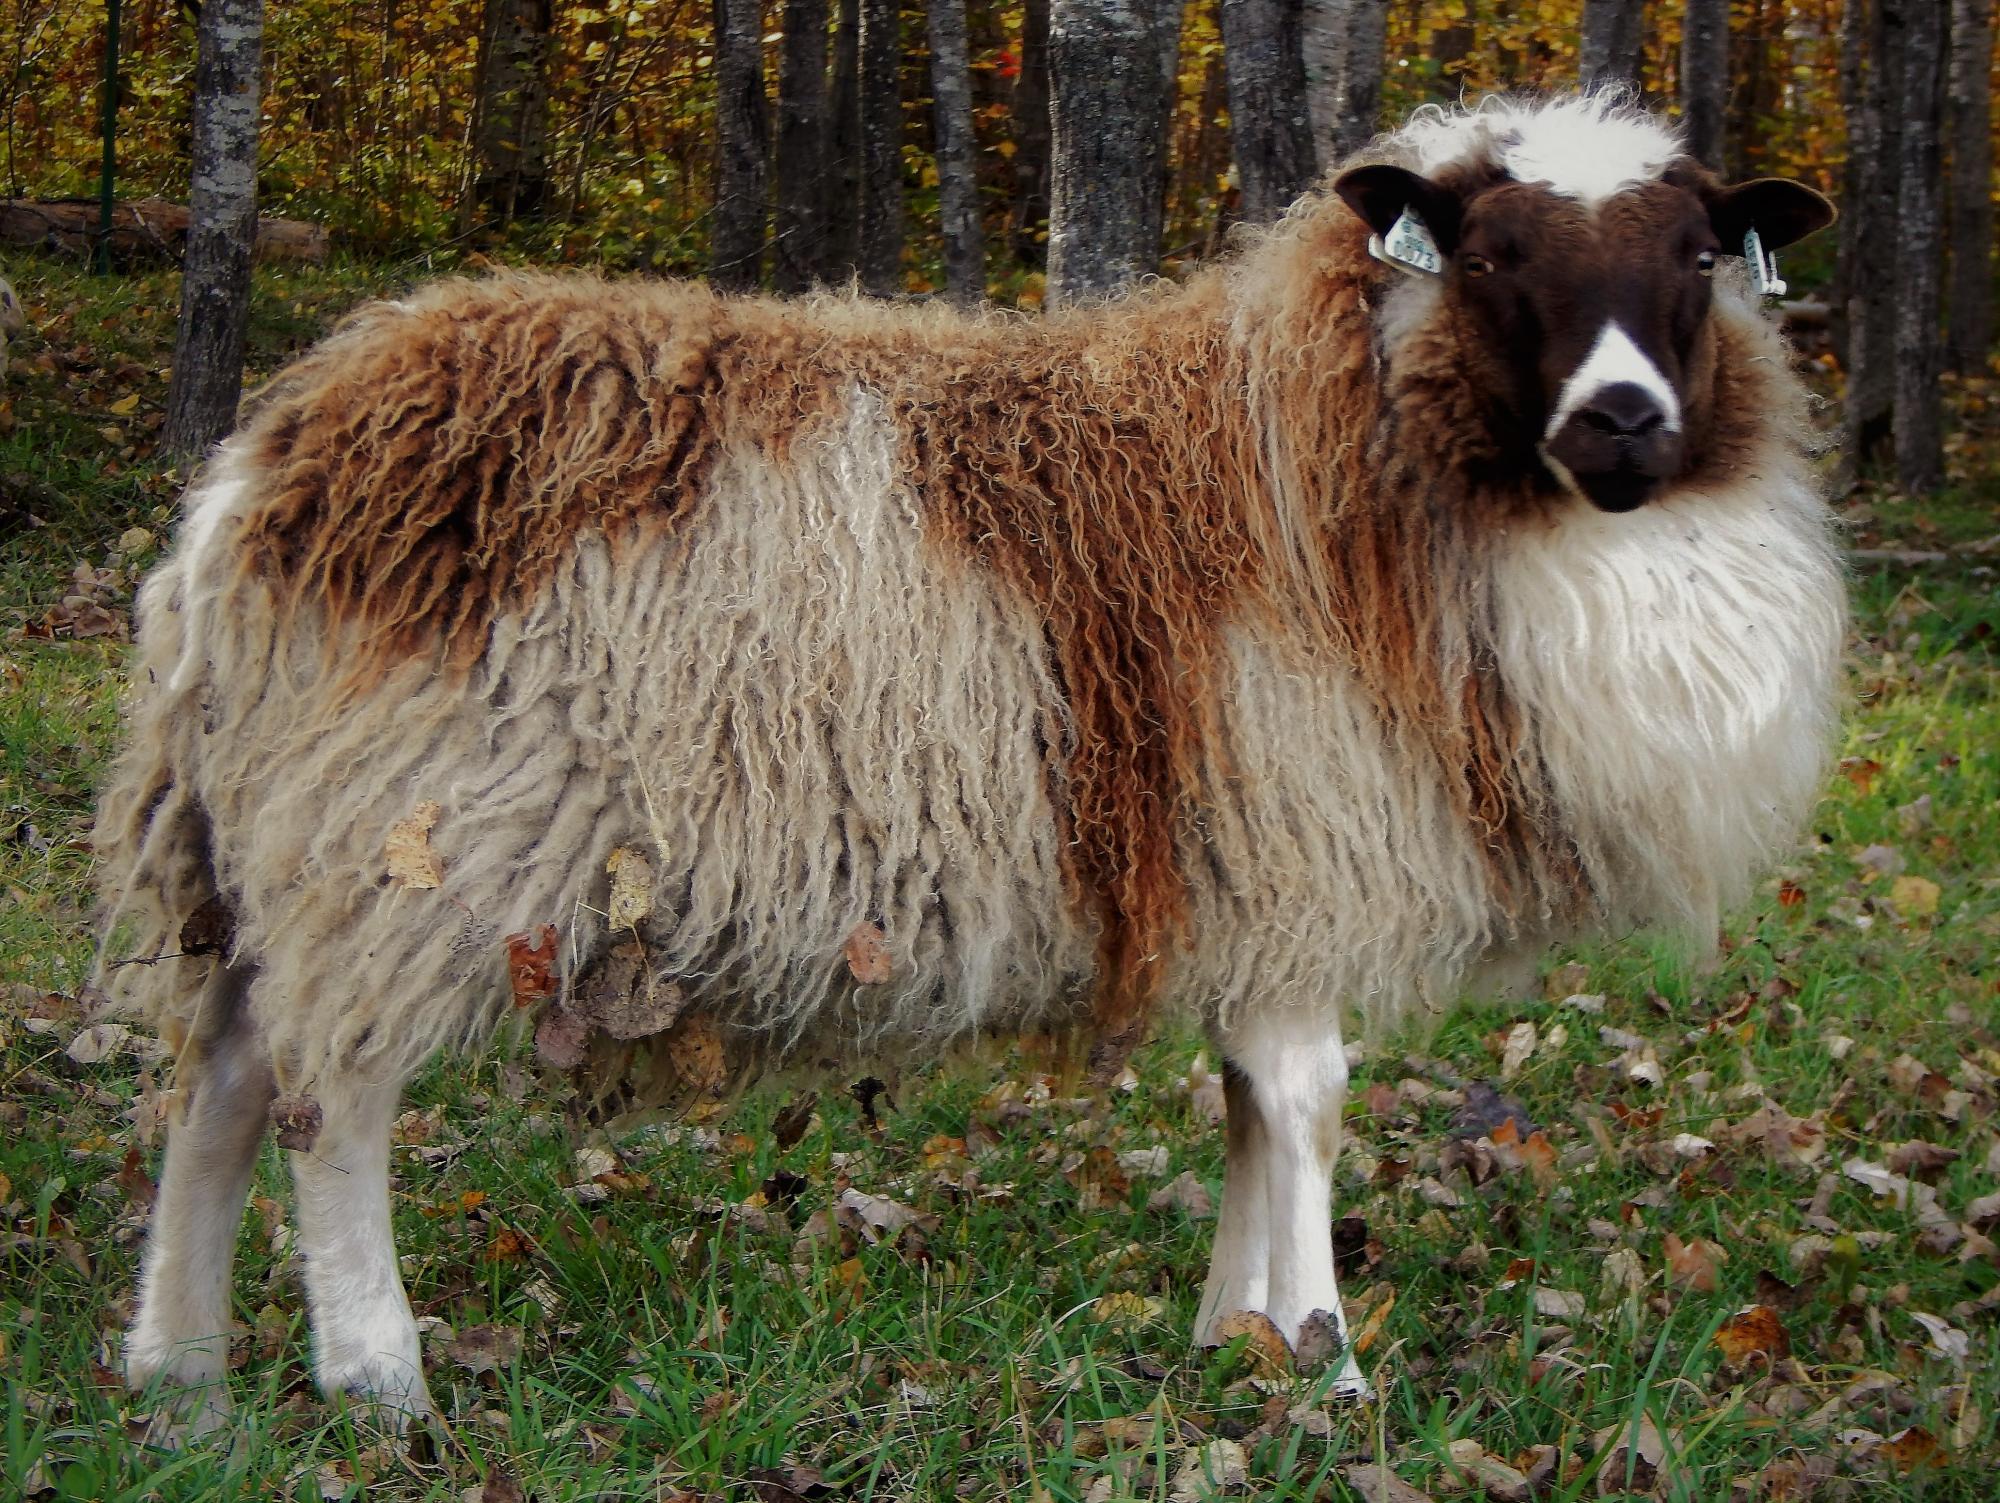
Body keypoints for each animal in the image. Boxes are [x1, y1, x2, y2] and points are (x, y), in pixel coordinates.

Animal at [97, 94, 1844, 1429]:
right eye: (1488, 254)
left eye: (1699, 257)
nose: (1623, 421)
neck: (1333, 447)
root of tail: (263, 466)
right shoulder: (1291, 821)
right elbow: (1309, 1099)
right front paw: (1325, 1363)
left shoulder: (1240, 860)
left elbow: (1246, 1101)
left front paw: (1233, 1336)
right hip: (402, 841)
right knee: (327, 1098)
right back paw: (376, 1378)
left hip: (280, 841)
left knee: (222, 1078)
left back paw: (178, 1374)